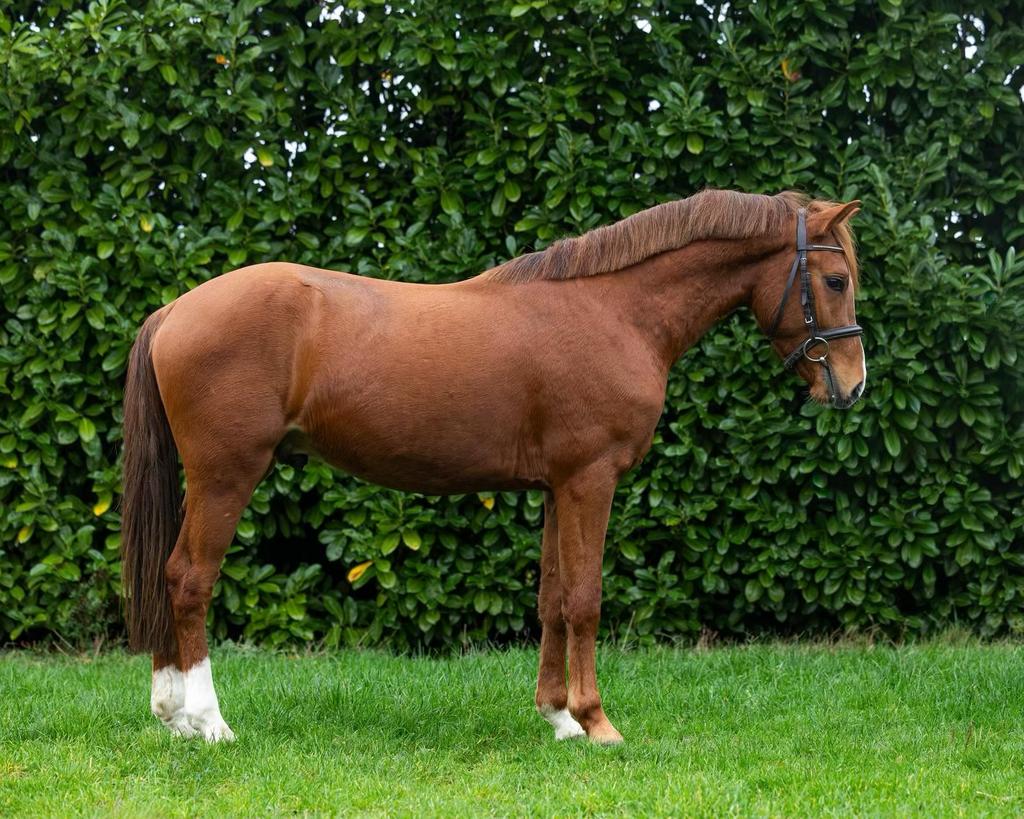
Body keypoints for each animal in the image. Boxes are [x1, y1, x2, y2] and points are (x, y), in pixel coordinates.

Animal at [121, 189, 865, 743]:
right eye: (835, 279)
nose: (853, 386)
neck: (613, 310)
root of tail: (174, 309)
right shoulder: (591, 479)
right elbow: (586, 599)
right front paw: (599, 723)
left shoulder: (557, 486)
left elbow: (553, 601)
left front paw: (560, 718)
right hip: (226, 474)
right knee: (188, 579)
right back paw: (208, 720)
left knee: (167, 575)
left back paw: (172, 716)